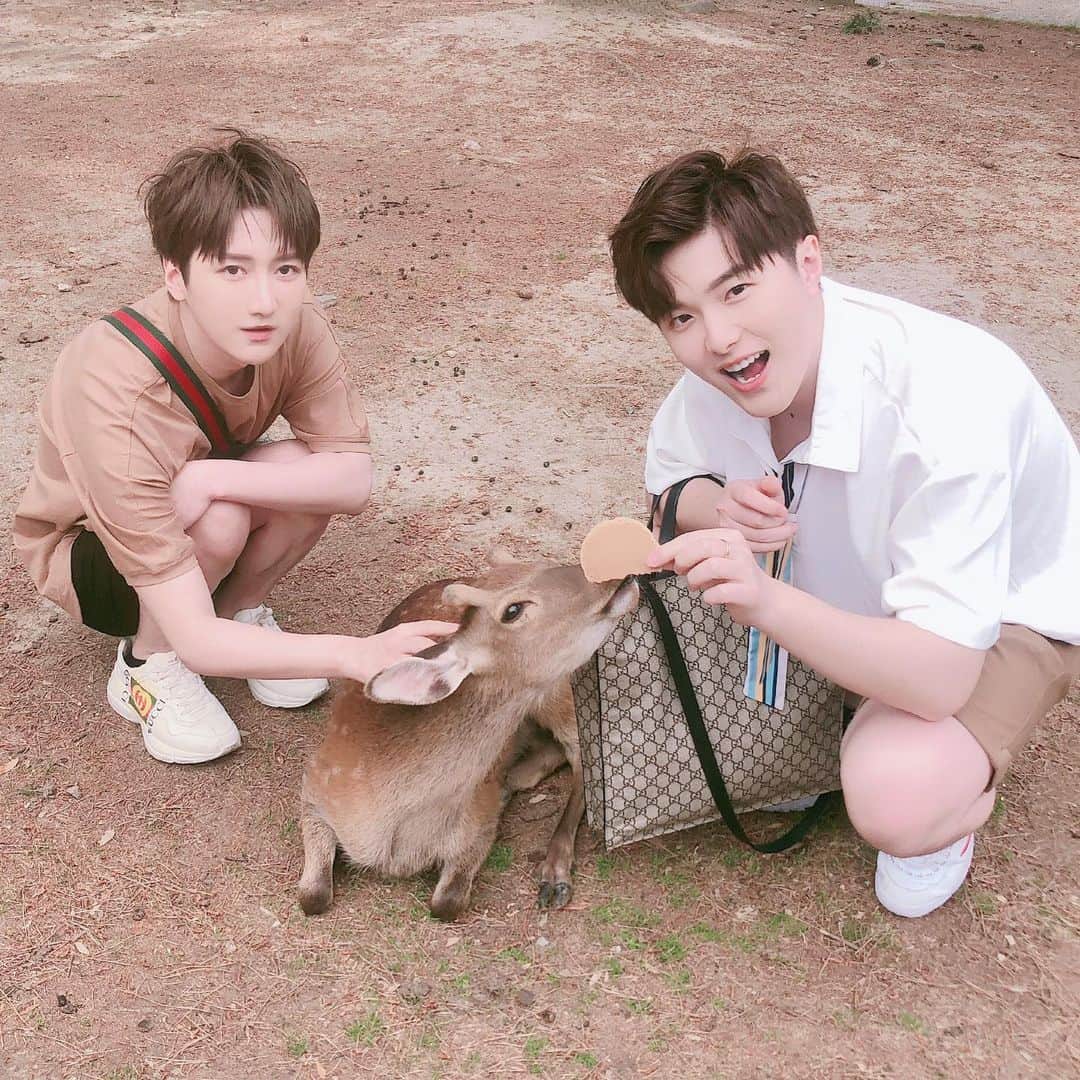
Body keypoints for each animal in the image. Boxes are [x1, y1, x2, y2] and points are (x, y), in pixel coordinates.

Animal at [297, 554, 638, 921]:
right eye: (513, 610)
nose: (611, 578)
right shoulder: (315, 787)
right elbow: (312, 896)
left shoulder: (479, 823)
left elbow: (447, 903)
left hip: (560, 691)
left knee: (580, 755)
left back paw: (553, 872)